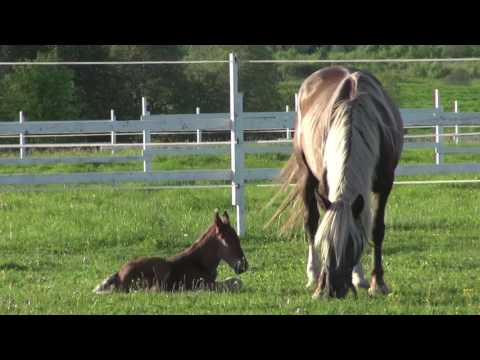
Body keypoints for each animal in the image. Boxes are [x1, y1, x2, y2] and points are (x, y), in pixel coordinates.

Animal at [95, 210, 249, 294]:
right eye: (226, 240)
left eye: (237, 238)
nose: (244, 265)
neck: (198, 262)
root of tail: (119, 274)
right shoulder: (206, 283)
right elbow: (233, 283)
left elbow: (235, 281)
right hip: (161, 268)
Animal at [272, 67, 404, 298]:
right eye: (324, 243)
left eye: (351, 245)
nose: (332, 289)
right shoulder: (325, 187)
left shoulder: (385, 184)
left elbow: (376, 229)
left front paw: (377, 283)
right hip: (306, 174)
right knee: (311, 222)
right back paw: (313, 274)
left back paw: (359, 277)